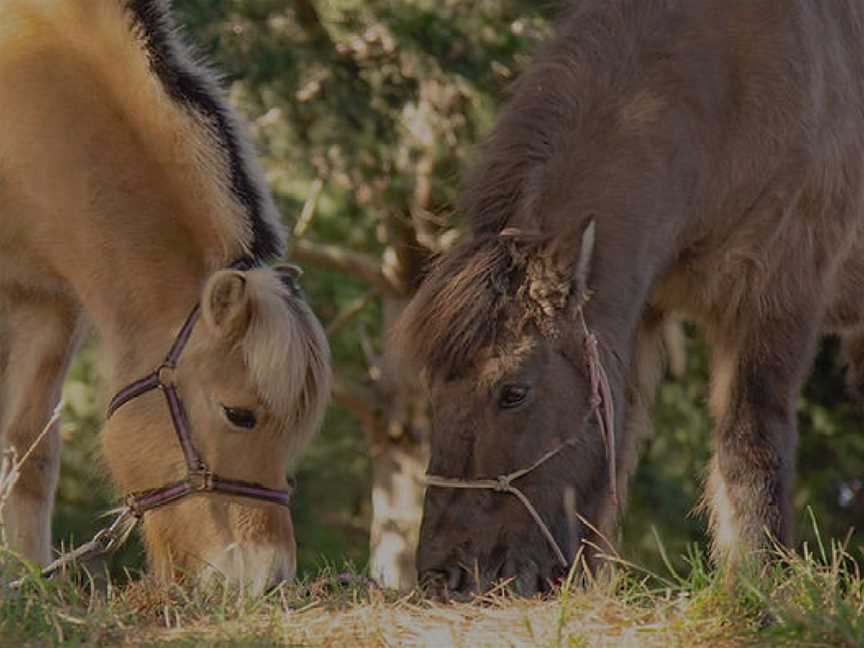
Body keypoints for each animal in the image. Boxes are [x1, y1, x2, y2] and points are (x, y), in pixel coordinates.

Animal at [402, 0, 864, 596]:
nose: (447, 576)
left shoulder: (775, 300)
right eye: (433, 390)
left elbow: (750, 441)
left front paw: (756, 581)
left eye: (513, 392)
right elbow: (616, 444)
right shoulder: (635, 312)